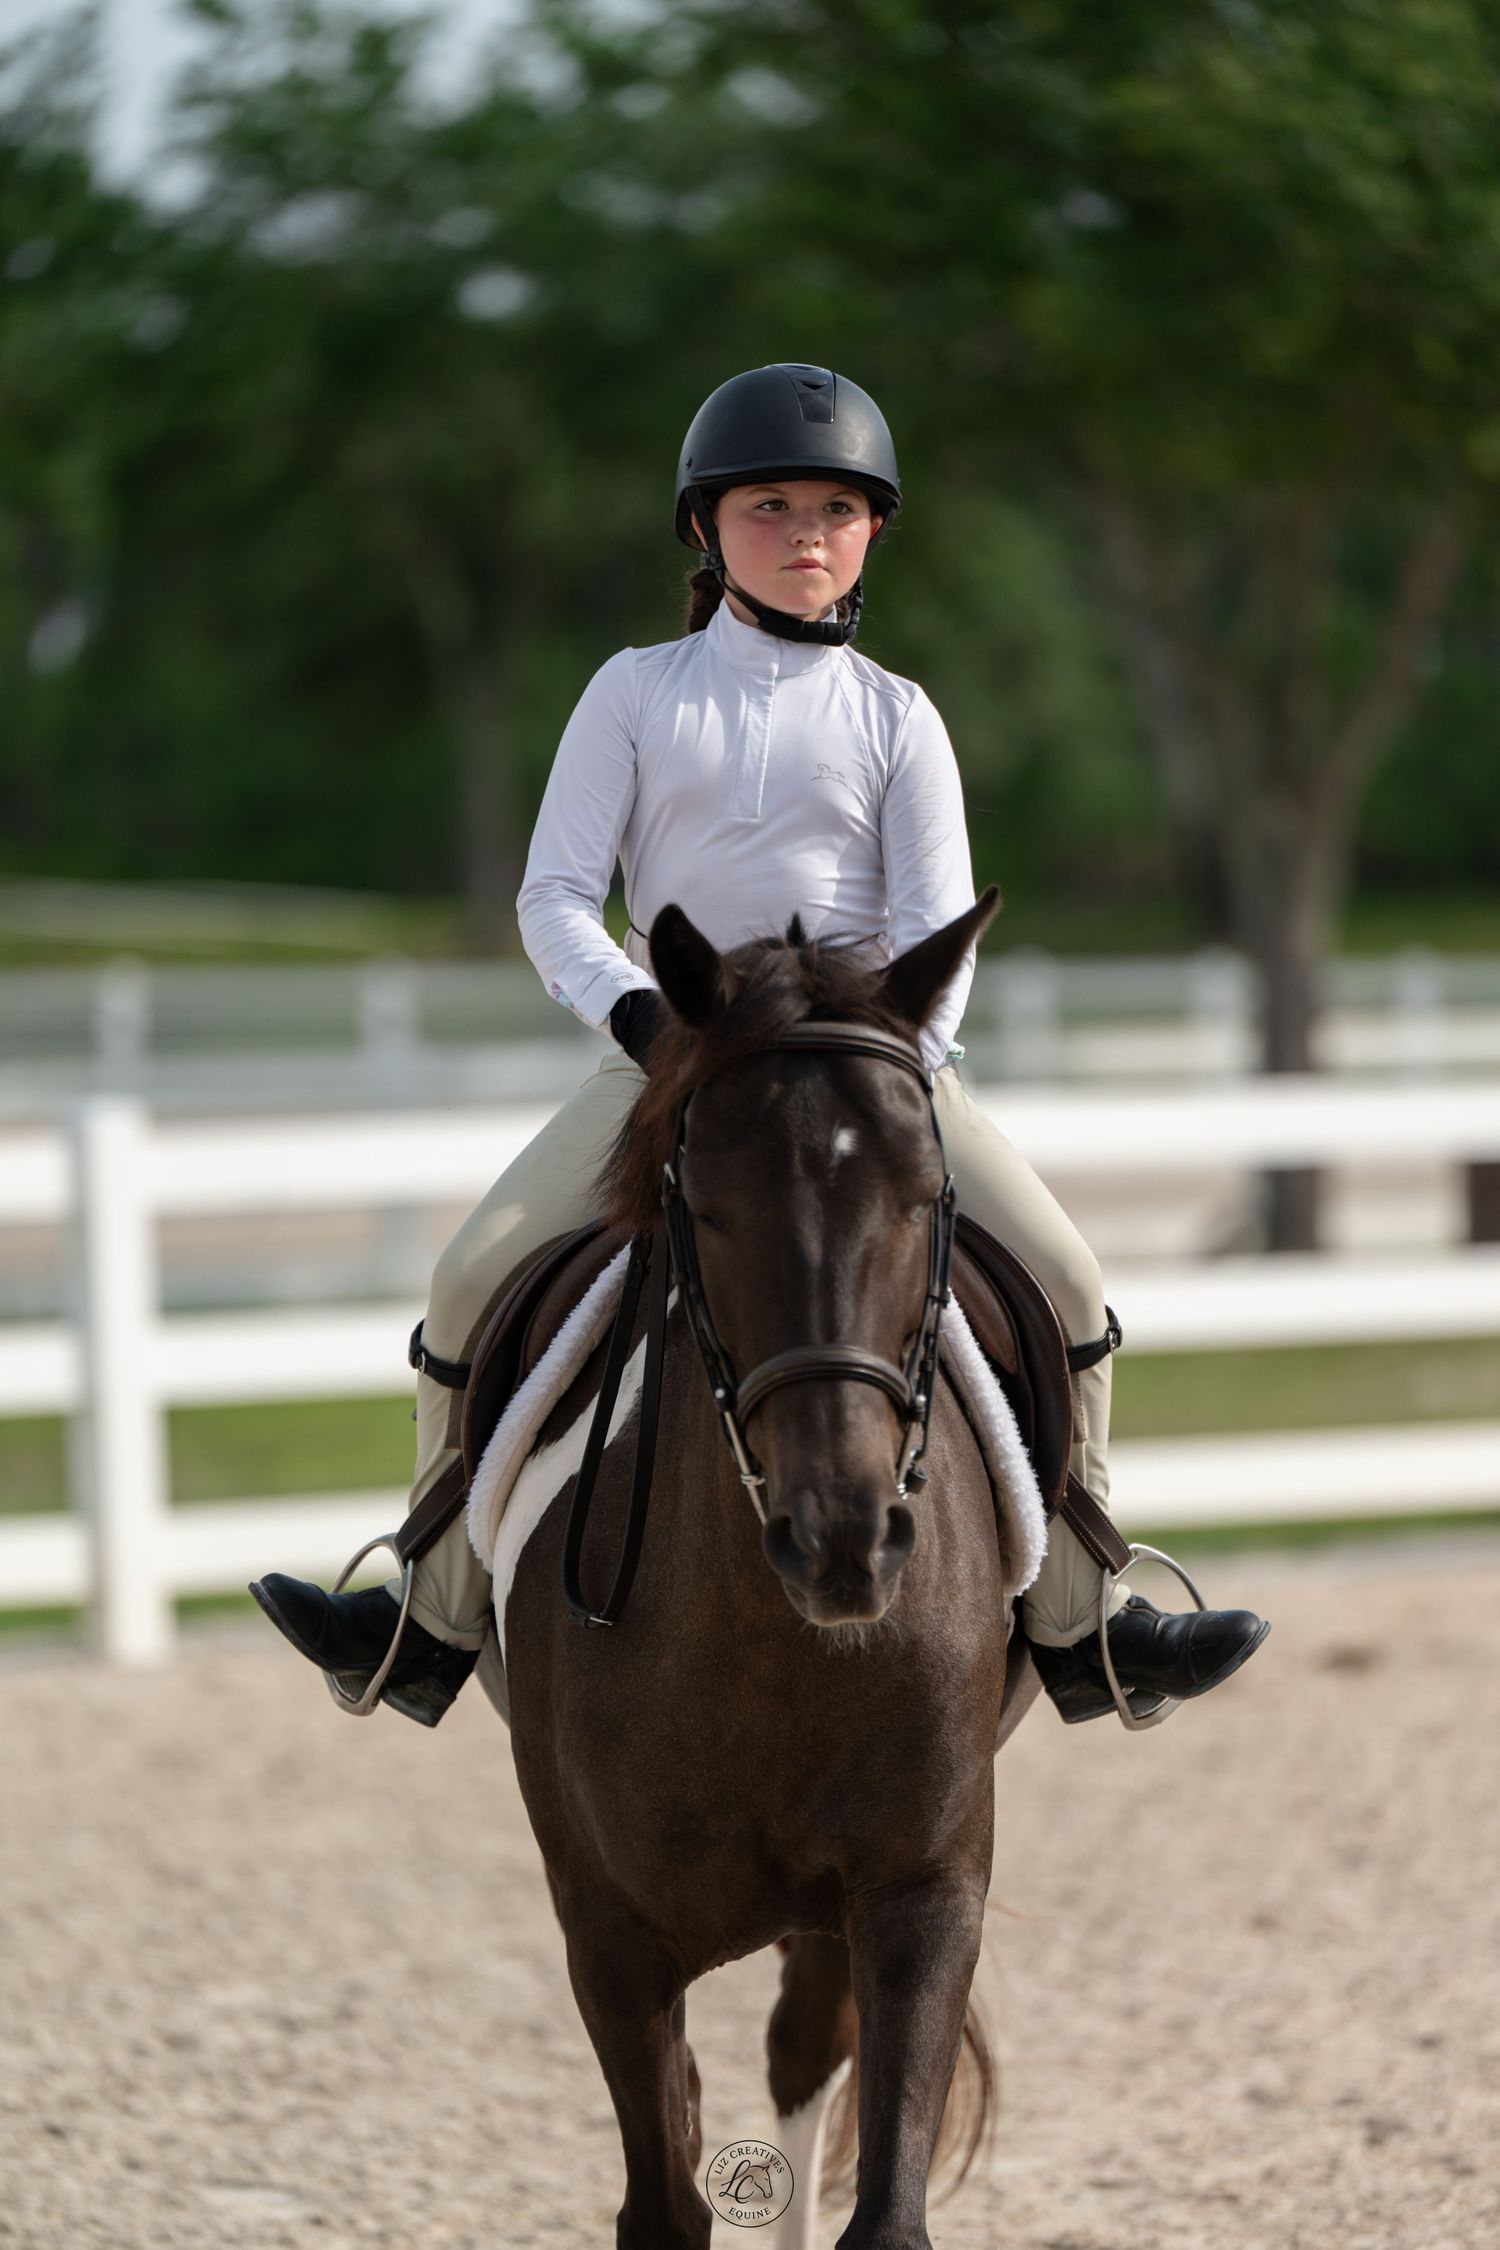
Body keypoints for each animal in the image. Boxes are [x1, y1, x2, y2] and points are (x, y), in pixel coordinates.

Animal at [495, 885, 1025, 2250]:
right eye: (712, 1206)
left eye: (924, 1196)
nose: (842, 1537)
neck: (775, 1644)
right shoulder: (610, 1938)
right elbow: (664, 2197)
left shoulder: (920, 1896)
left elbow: (881, 2208)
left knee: (798, 2062)